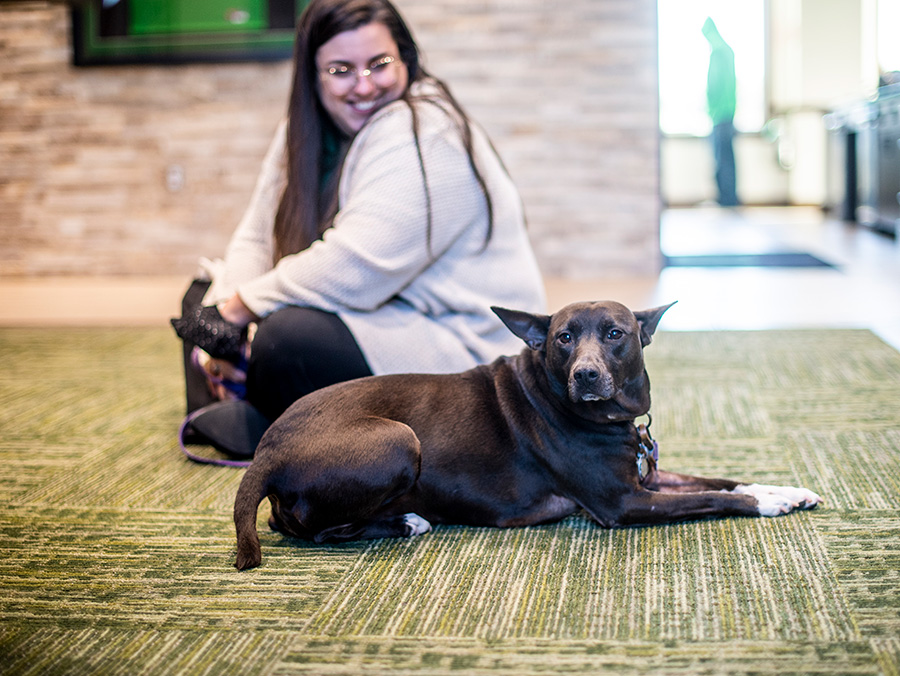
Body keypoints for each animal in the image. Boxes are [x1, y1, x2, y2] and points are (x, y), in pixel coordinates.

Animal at [233, 300, 821, 570]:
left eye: (616, 334)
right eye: (563, 338)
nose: (586, 375)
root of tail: (267, 450)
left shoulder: (647, 478)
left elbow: (721, 480)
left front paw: (783, 490)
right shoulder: (624, 503)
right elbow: (715, 499)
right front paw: (768, 504)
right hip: (398, 440)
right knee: (307, 528)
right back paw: (404, 521)